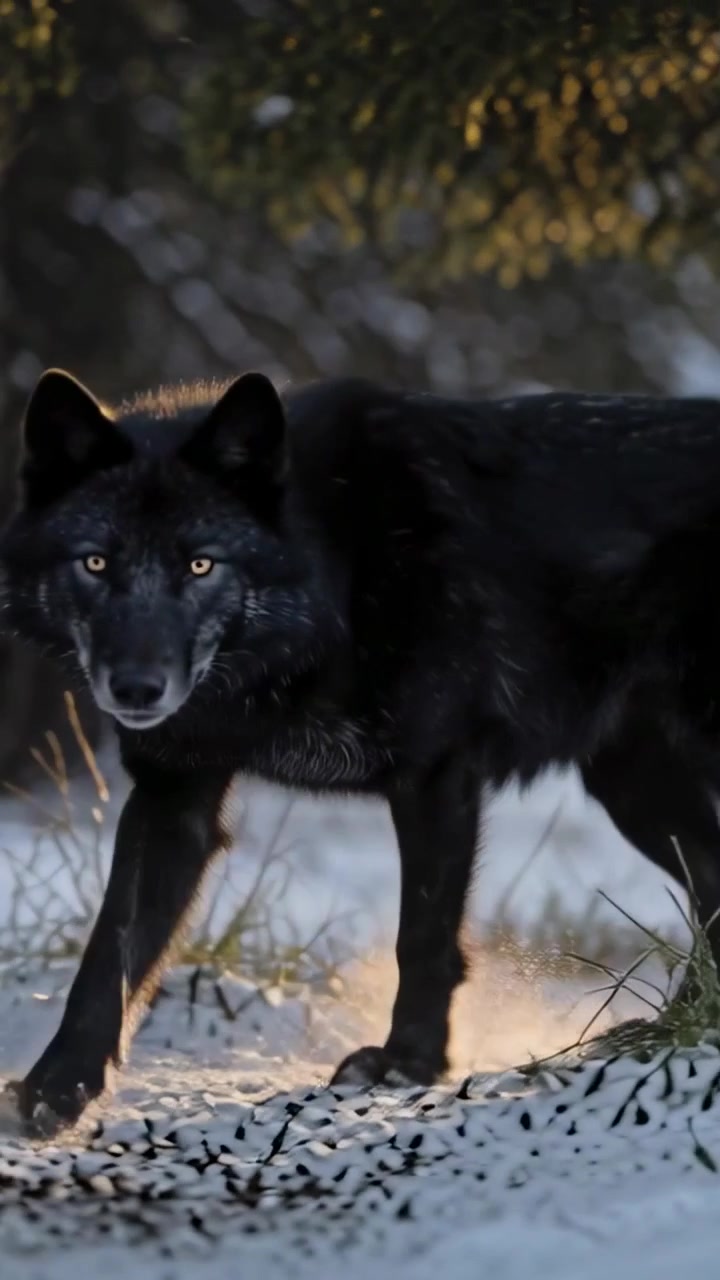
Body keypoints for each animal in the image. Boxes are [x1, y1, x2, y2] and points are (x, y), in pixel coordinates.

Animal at [3, 366, 720, 1133]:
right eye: (95, 562)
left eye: (200, 565)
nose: (136, 688)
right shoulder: (173, 796)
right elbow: (110, 947)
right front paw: (60, 1085)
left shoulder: (435, 776)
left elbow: (424, 937)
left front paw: (408, 1065)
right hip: (634, 788)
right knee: (712, 887)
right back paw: (667, 1033)